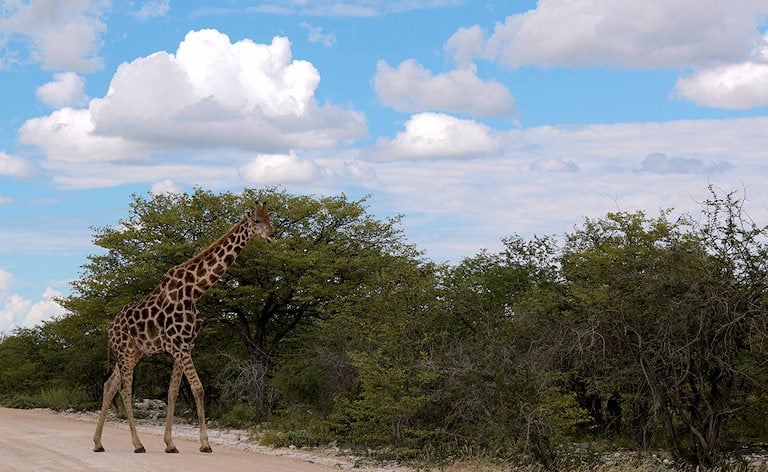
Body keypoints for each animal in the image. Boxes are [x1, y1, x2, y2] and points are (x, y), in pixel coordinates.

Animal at [93, 201, 275, 454]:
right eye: (256, 221)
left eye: (270, 219)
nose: (272, 235)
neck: (195, 291)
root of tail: (109, 328)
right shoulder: (179, 346)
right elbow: (198, 388)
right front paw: (205, 444)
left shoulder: (185, 345)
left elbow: (173, 392)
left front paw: (170, 444)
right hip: (124, 351)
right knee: (125, 390)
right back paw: (138, 444)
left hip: (135, 352)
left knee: (109, 385)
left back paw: (98, 443)